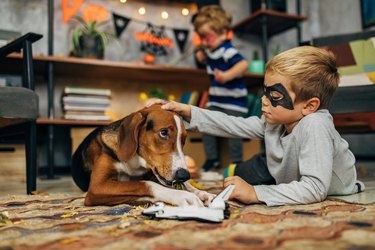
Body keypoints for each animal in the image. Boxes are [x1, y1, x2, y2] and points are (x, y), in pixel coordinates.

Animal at [72, 103, 216, 207]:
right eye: (163, 132)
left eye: (183, 140)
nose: (184, 175)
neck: (135, 162)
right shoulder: (97, 187)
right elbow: (146, 184)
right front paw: (183, 196)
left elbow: (185, 185)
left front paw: (201, 193)